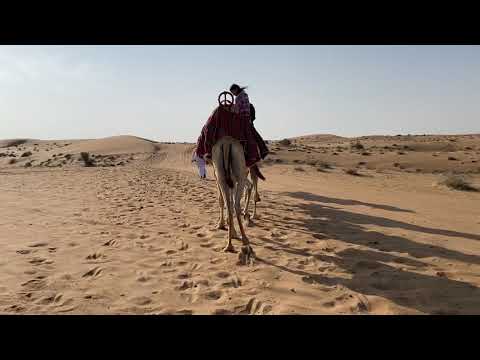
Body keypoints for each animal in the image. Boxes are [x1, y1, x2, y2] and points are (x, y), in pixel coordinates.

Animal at [211, 136, 255, 264]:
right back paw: (244, 238)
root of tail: (226, 143)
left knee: (229, 204)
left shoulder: (222, 179)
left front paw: (223, 225)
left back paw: (229, 245)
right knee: (236, 204)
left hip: (221, 174)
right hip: (239, 174)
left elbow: (224, 200)